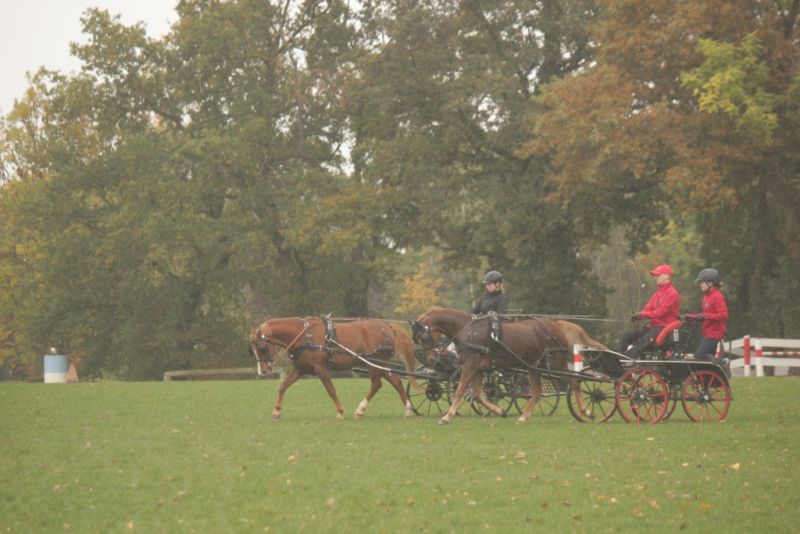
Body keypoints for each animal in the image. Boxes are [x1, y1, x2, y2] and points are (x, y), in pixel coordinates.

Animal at [249, 316, 417, 420]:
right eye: (253, 350)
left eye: (262, 348)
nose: (263, 371)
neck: (304, 336)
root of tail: (386, 325)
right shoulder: (300, 369)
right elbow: (283, 387)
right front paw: (276, 411)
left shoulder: (321, 369)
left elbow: (331, 390)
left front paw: (340, 412)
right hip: (380, 363)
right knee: (395, 381)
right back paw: (408, 409)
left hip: (374, 362)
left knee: (377, 384)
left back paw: (361, 409)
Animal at [412, 307, 602, 425]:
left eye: (424, 337)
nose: (431, 360)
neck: (468, 330)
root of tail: (556, 324)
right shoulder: (478, 368)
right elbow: (476, 394)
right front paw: (500, 411)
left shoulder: (470, 365)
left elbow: (461, 390)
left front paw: (446, 417)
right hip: (533, 367)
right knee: (537, 392)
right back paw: (523, 417)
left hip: (556, 363)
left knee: (574, 382)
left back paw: (587, 411)